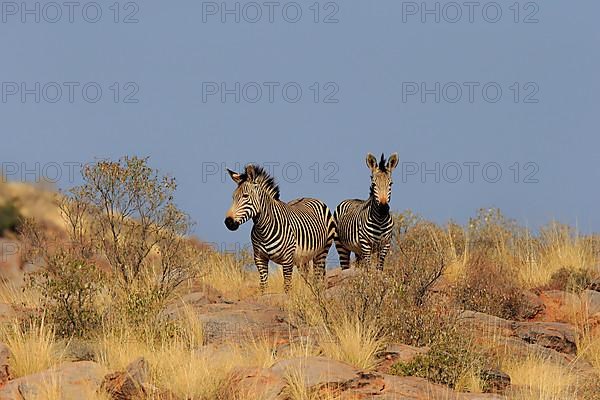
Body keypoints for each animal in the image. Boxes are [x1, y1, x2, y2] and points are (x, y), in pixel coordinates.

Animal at [226, 164, 338, 292]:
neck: (263, 228)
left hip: (322, 251)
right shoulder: (259, 259)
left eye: (245, 196)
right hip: (303, 258)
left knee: (318, 277)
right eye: (233, 197)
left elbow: (287, 286)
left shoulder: (287, 259)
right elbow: (263, 286)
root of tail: (309, 197)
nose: (228, 222)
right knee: (308, 278)